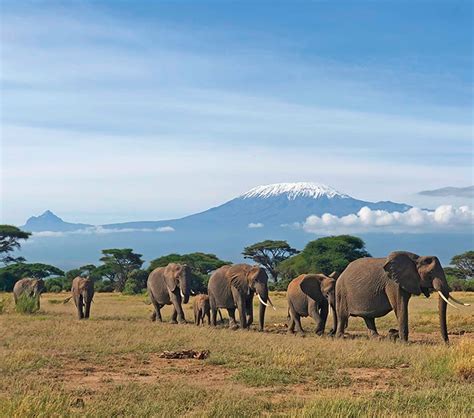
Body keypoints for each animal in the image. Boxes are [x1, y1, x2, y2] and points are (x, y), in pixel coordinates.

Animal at [336, 251, 470, 342]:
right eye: (430, 273)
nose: (447, 343)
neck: (416, 259)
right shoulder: (392, 283)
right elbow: (400, 306)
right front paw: (404, 342)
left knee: (368, 317)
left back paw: (377, 338)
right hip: (341, 291)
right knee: (342, 315)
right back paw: (340, 337)